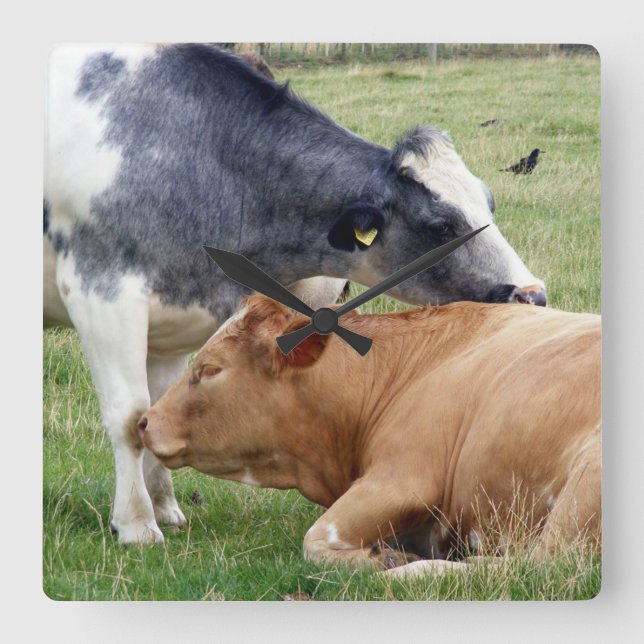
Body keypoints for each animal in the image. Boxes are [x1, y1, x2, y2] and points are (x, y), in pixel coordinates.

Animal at [44, 43, 546, 544]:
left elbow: (158, 405)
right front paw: (136, 525)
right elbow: (131, 417)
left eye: (489, 205)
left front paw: (165, 507)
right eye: (442, 226)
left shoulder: (173, 317)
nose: (534, 296)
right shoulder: (101, 291)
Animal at [140, 296, 600, 572]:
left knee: (531, 566)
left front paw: (384, 557)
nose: (144, 422)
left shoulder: (401, 478)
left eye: (209, 369)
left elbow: (315, 540)